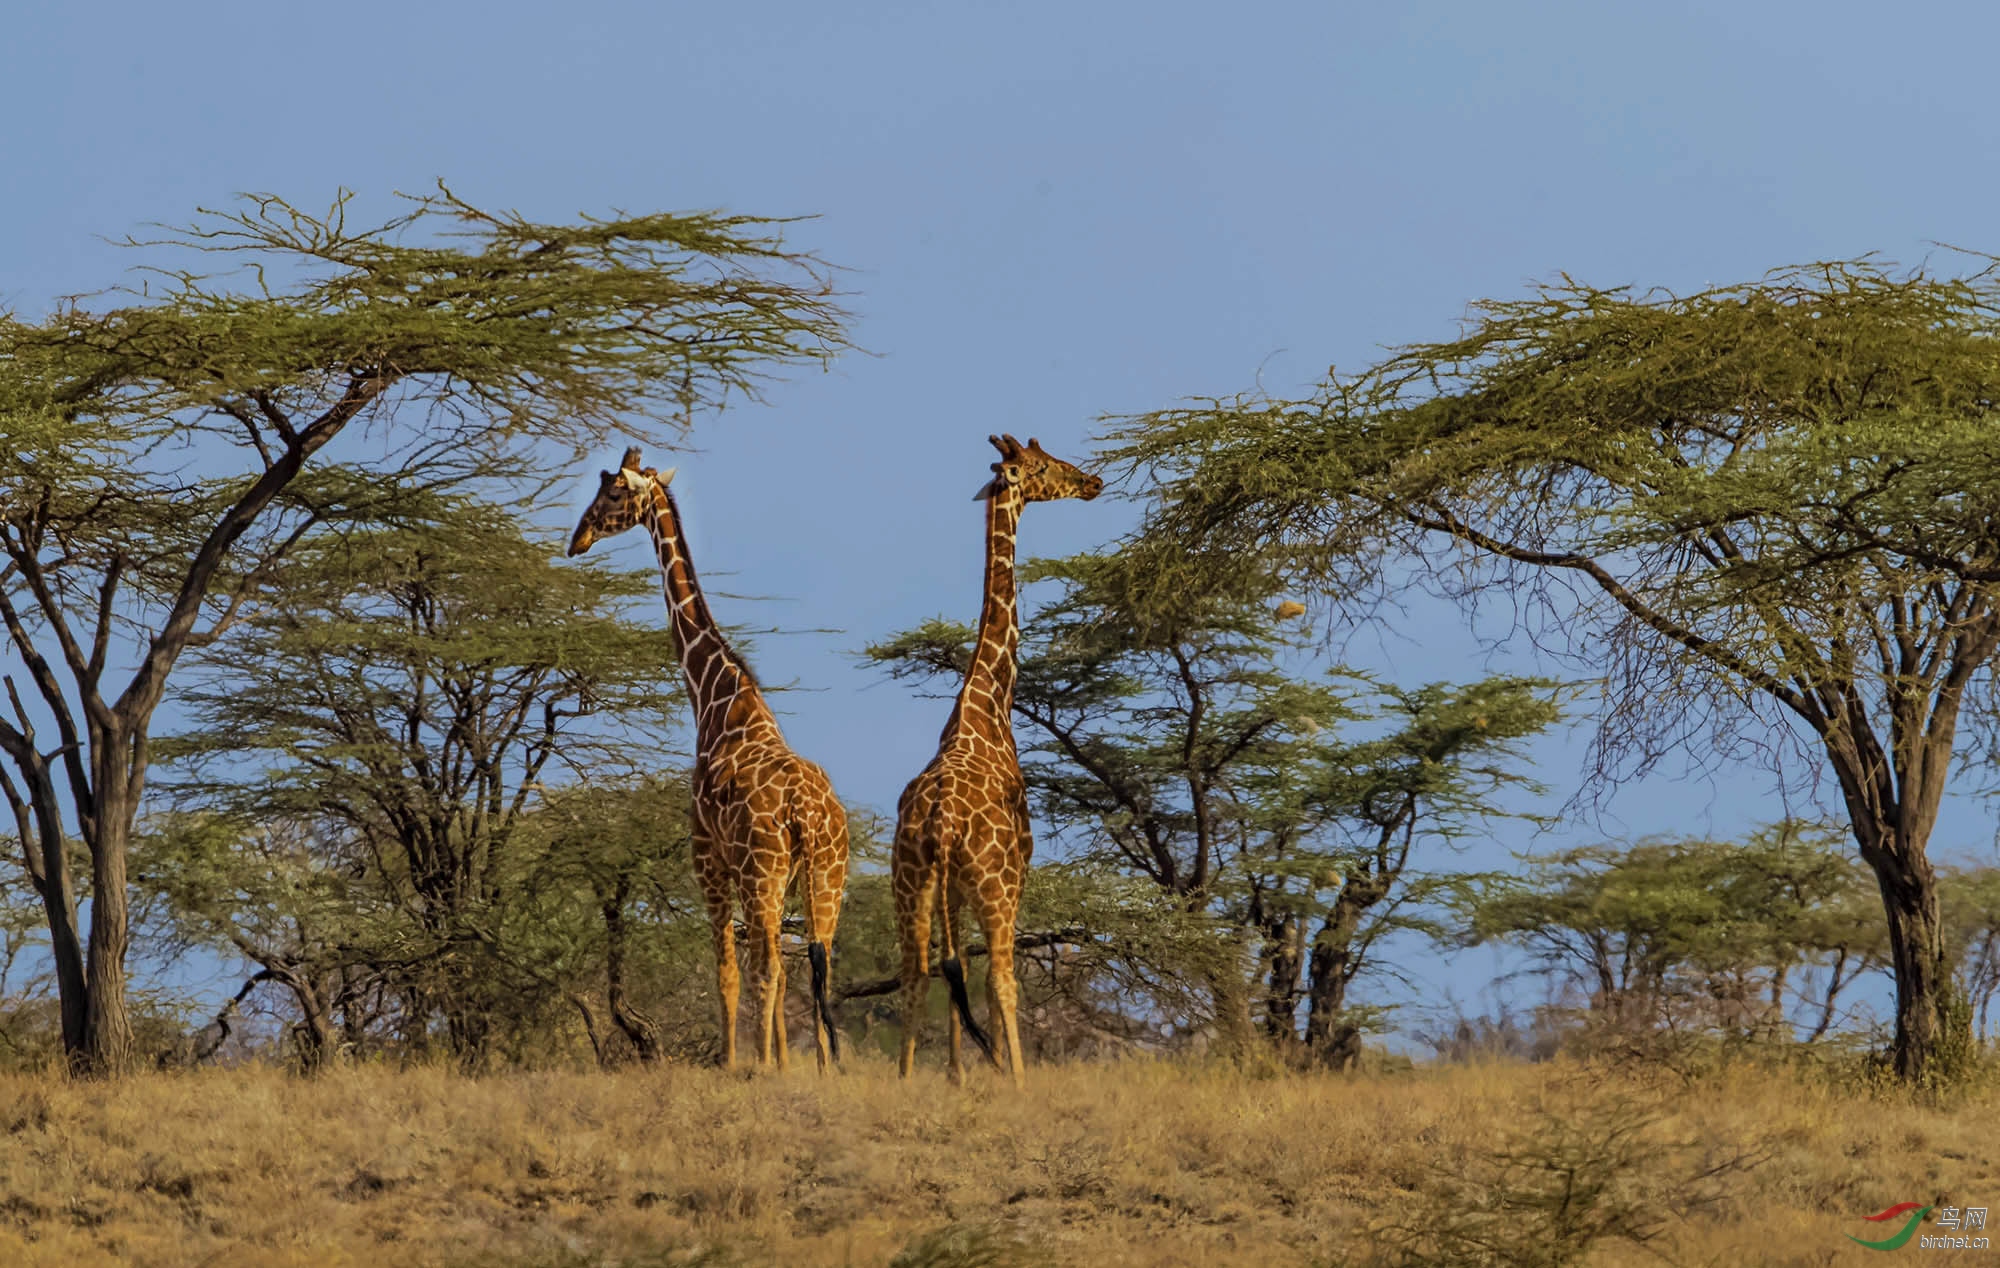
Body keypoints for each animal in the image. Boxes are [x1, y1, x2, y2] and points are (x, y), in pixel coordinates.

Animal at [568, 444, 848, 1064]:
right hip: (826, 876)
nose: (578, 538)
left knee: (769, 969)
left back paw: (766, 1067)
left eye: (612, 493)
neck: (717, 698)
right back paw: (826, 1067)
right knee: (818, 969)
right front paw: (781, 1064)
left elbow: (727, 973)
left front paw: (738, 1063)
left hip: (763, 873)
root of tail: (808, 815)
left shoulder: (707, 856)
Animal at [896, 430, 1104, 1080]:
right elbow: (991, 981)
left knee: (918, 974)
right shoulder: (1018, 873)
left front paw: (959, 1075)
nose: (1092, 481)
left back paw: (906, 1076)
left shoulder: (950, 892)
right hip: (993, 887)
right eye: (1040, 466)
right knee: (1002, 979)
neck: (987, 705)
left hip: (911, 886)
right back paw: (1018, 1077)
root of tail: (940, 822)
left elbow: (951, 971)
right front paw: (996, 1072)